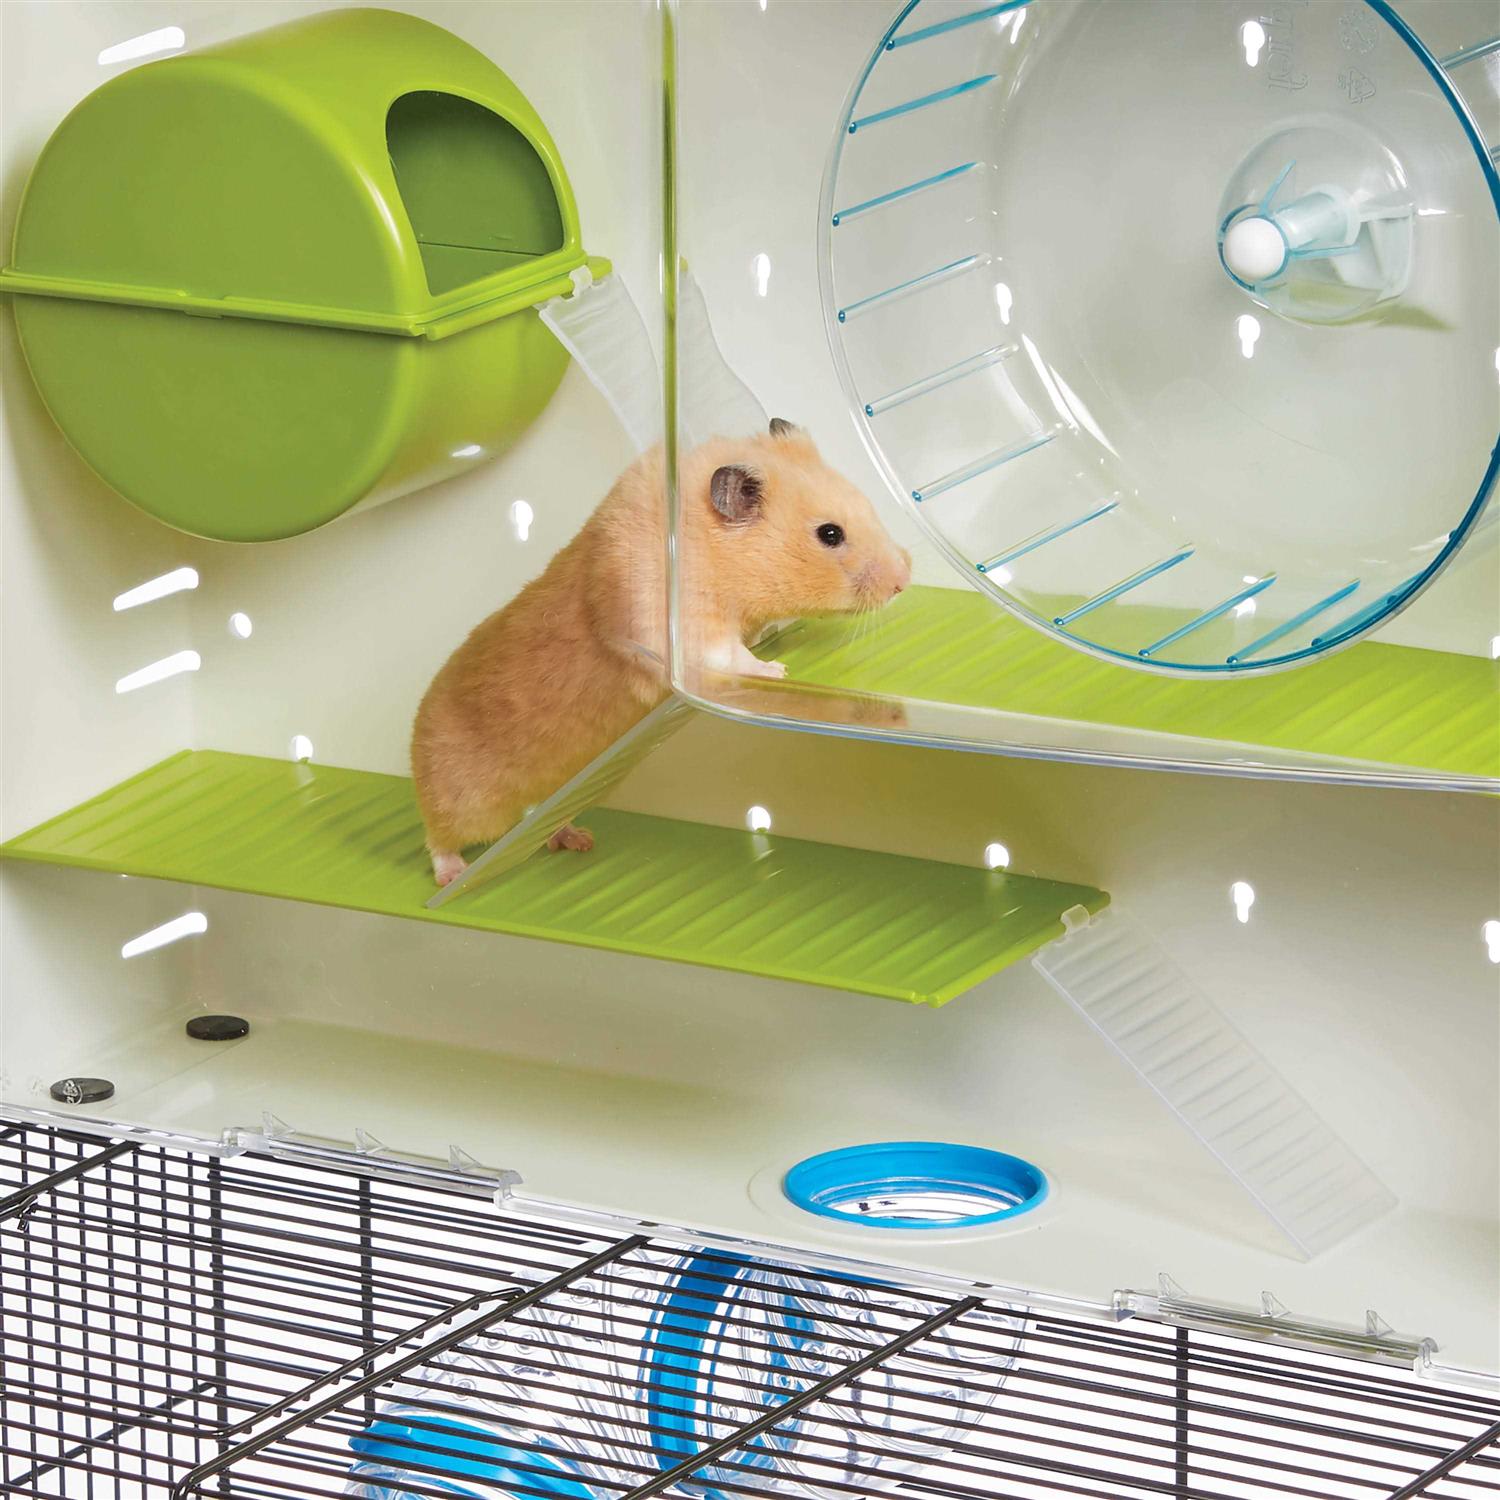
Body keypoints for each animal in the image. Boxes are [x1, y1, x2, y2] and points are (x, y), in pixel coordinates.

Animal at [411, 418, 912, 886]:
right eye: (829, 534)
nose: (905, 579)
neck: (711, 549)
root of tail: (415, 735)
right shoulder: (687, 626)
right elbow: (729, 655)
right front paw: (776, 669)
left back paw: (578, 840)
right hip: (466, 800)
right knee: (438, 836)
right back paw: (452, 873)